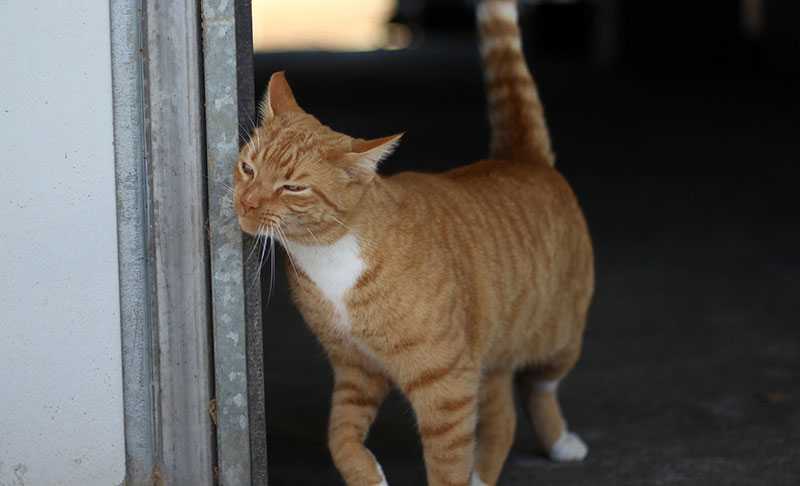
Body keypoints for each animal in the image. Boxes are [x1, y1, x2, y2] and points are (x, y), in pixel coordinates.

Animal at [234, 0, 592, 482]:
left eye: (292, 188)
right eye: (248, 168)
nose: (246, 201)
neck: (330, 256)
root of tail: (520, 158)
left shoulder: (446, 385)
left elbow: (446, 465)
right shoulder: (356, 370)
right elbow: (340, 438)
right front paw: (368, 475)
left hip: (560, 339)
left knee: (539, 386)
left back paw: (559, 442)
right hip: (489, 348)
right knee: (503, 413)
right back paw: (485, 474)